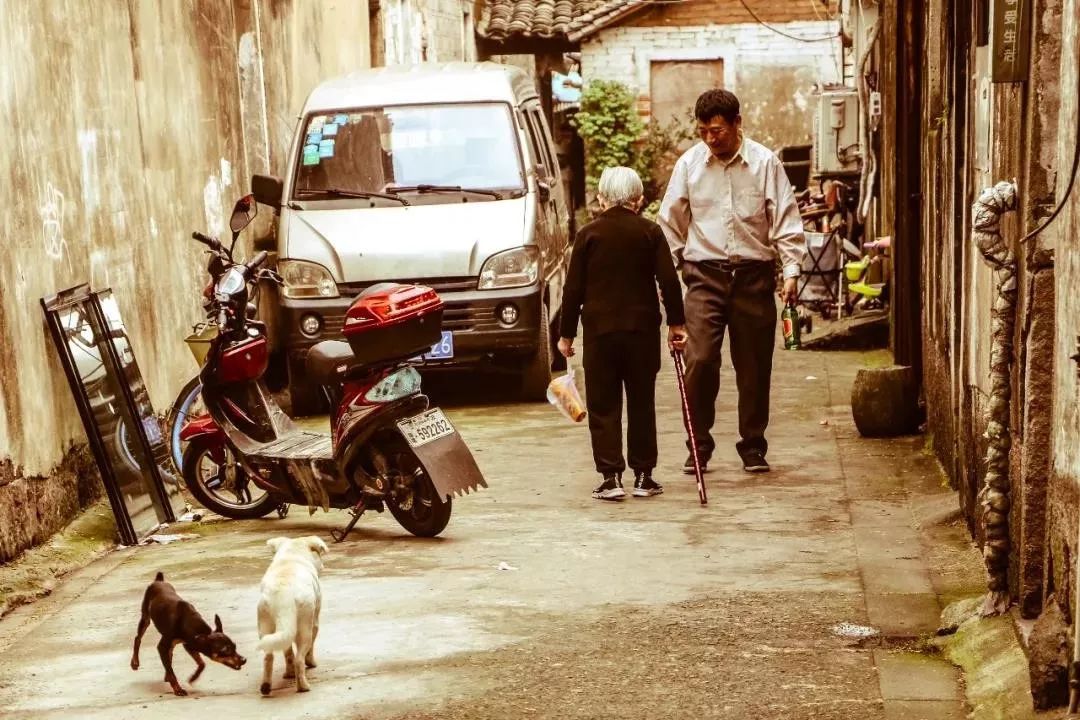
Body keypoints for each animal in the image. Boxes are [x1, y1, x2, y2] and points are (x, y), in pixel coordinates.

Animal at [254, 537, 326, 695]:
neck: (292, 555)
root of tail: (284, 594)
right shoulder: (315, 622)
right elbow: (309, 649)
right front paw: (311, 663)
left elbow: (287, 653)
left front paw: (289, 673)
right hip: (305, 627)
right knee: (299, 659)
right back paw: (303, 686)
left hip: (265, 625)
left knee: (269, 657)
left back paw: (266, 686)